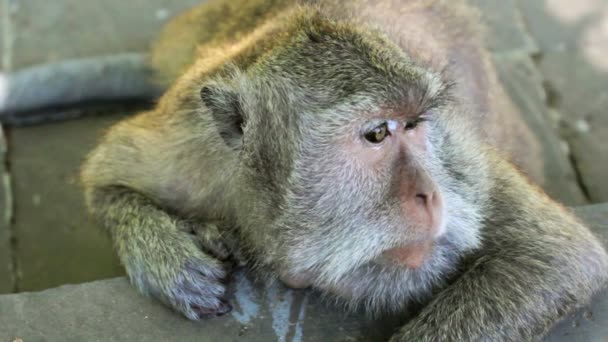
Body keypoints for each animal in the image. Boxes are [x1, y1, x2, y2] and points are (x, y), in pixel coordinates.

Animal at [76, 1, 608, 340]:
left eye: (416, 124)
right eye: (376, 134)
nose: (431, 195)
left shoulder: (465, 161)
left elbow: (558, 255)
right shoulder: (188, 149)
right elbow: (104, 178)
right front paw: (168, 259)